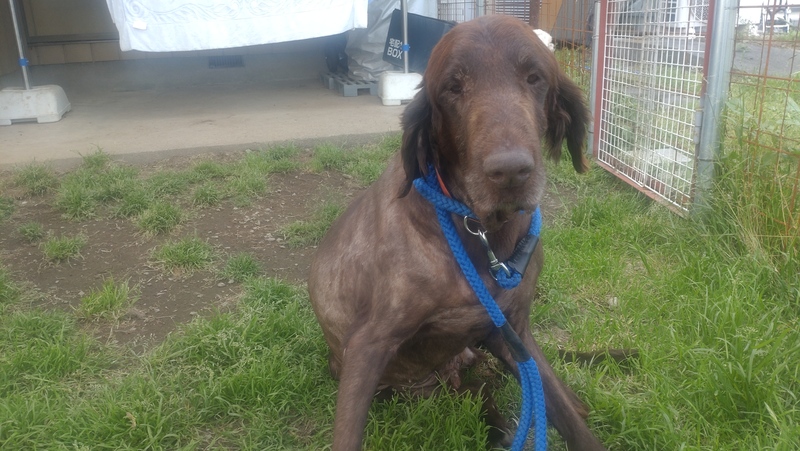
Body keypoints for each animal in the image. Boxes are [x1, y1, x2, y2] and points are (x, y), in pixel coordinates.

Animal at [309, 15, 605, 450]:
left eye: (534, 77)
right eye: (452, 87)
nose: (510, 171)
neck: (484, 235)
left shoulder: (512, 331)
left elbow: (566, 417)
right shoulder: (367, 344)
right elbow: (347, 434)